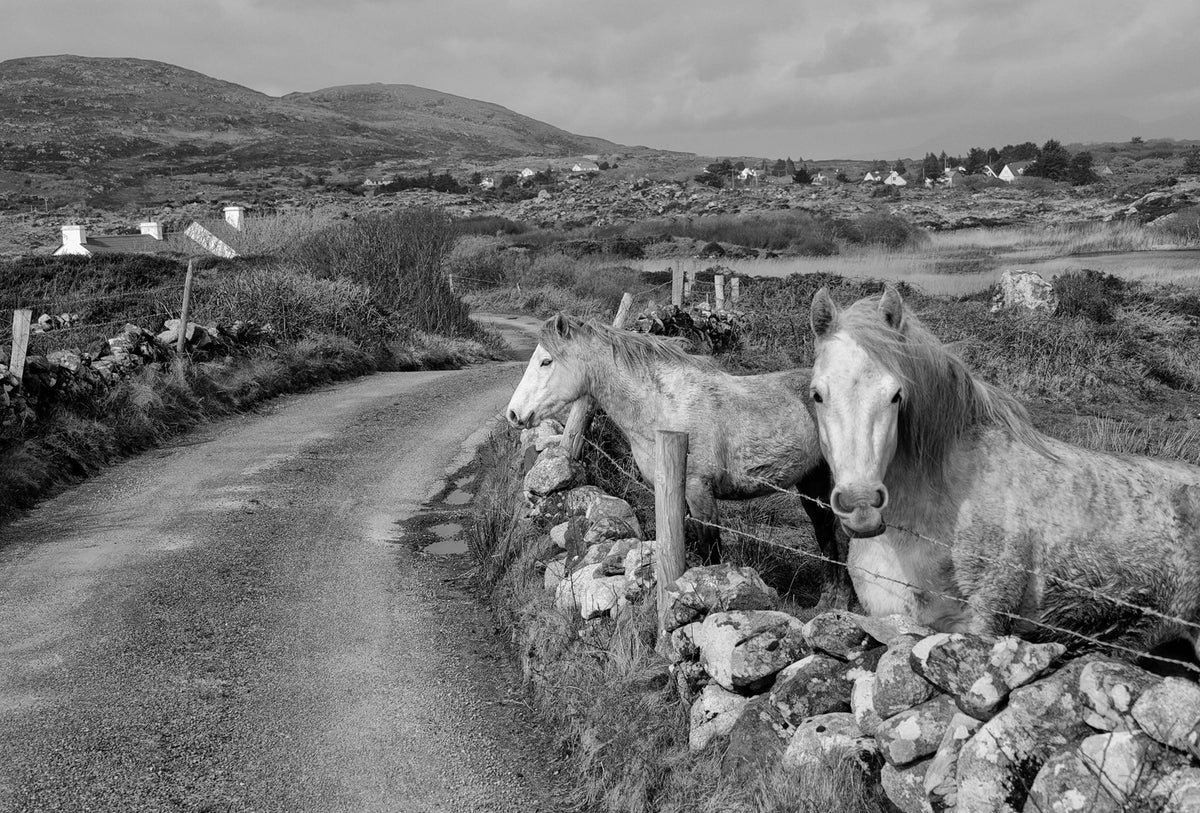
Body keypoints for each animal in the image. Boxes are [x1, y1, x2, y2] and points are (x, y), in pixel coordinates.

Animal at [506, 313, 853, 609]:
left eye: (546, 361)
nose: (513, 413)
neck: (663, 408)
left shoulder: (700, 491)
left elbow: (711, 551)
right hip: (812, 481)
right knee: (826, 533)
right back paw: (830, 601)